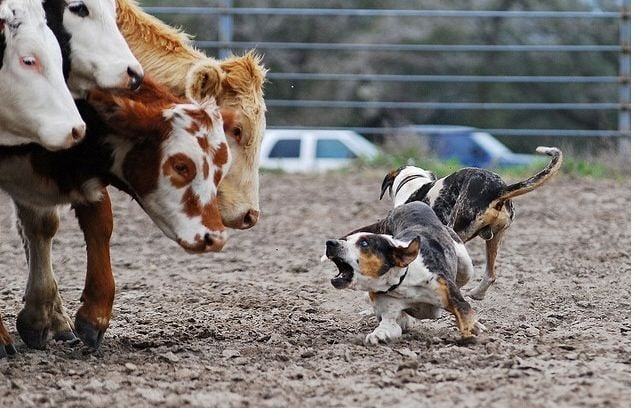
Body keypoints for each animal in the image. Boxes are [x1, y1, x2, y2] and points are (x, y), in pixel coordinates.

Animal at [378, 147, 560, 300]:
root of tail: (498, 189)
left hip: (456, 231)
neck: (411, 183)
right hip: (494, 238)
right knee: (490, 275)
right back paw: (476, 294)